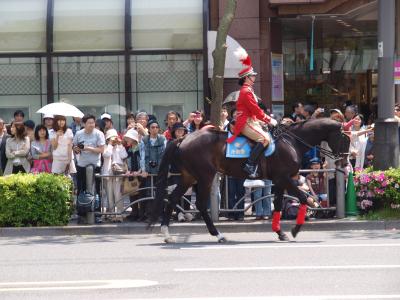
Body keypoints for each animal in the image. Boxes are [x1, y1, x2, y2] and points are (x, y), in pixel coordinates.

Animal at [148, 118, 348, 243]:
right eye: (345, 138)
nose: (345, 163)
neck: (291, 141)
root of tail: (183, 138)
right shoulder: (284, 178)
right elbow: (304, 198)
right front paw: (295, 230)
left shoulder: (280, 180)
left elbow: (277, 204)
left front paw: (280, 232)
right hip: (205, 176)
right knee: (201, 205)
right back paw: (218, 235)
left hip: (189, 177)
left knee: (172, 199)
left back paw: (167, 234)